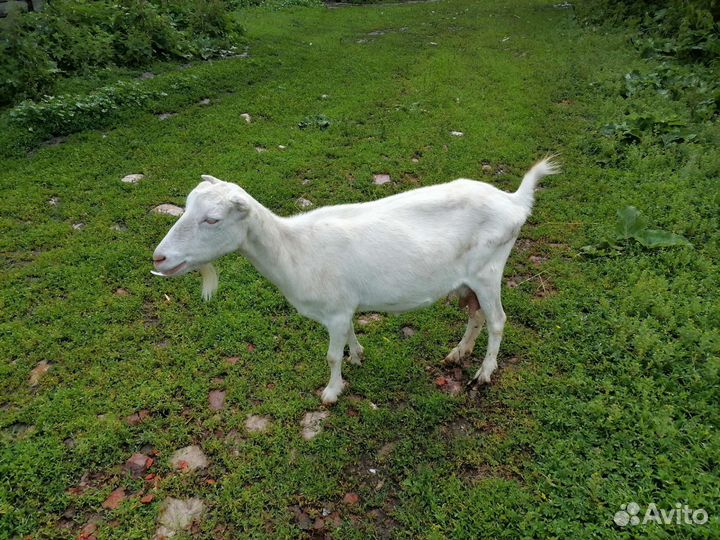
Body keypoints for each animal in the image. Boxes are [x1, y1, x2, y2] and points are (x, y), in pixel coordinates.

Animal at [152, 157, 559, 404]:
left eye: (213, 219)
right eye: (186, 207)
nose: (159, 258)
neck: (294, 250)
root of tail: (515, 202)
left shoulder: (334, 311)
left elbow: (331, 355)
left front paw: (332, 391)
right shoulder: (344, 306)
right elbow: (349, 334)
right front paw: (359, 356)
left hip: (489, 270)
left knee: (497, 320)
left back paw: (484, 373)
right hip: (468, 281)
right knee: (475, 316)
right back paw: (458, 353)